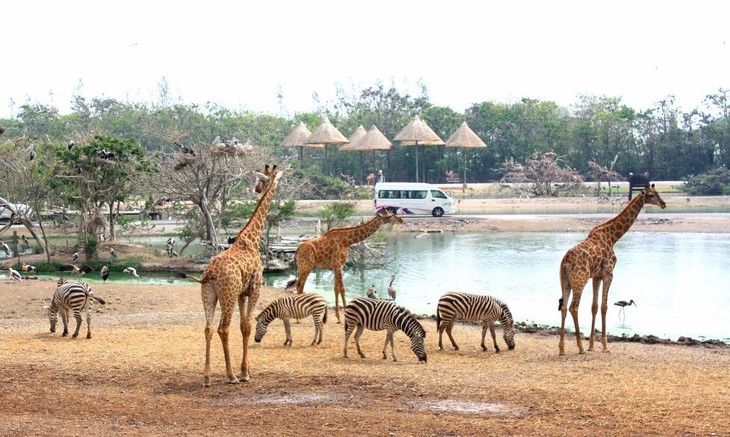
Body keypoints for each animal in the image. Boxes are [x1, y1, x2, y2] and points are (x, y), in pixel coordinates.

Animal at [182, 164, 282, 384]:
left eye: (260, 181)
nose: (257, 189)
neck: (252, 240)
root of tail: (209, 273)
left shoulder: (241, 294)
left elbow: (243, 326)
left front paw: (246, 371)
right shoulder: (254, 290)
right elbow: (248, 326)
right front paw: (244, 373)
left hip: (208, 295)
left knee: (208, 328)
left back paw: (207, 377)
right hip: (227, 296)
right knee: (223, 328)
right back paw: (230, 375)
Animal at [556, 184, 664, 354]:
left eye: (657, 193)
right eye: (652, 195)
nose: (663, 204)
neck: (613, 237)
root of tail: (565, 262)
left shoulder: (596, 276)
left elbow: (594, 307)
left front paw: (592, 345)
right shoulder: (609, 273)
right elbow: (604, 307)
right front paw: (605, 346)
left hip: (565, 281)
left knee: (564, 307)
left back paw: (562, 349)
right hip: (580, 280)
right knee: (574, 307)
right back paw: (579, 347)